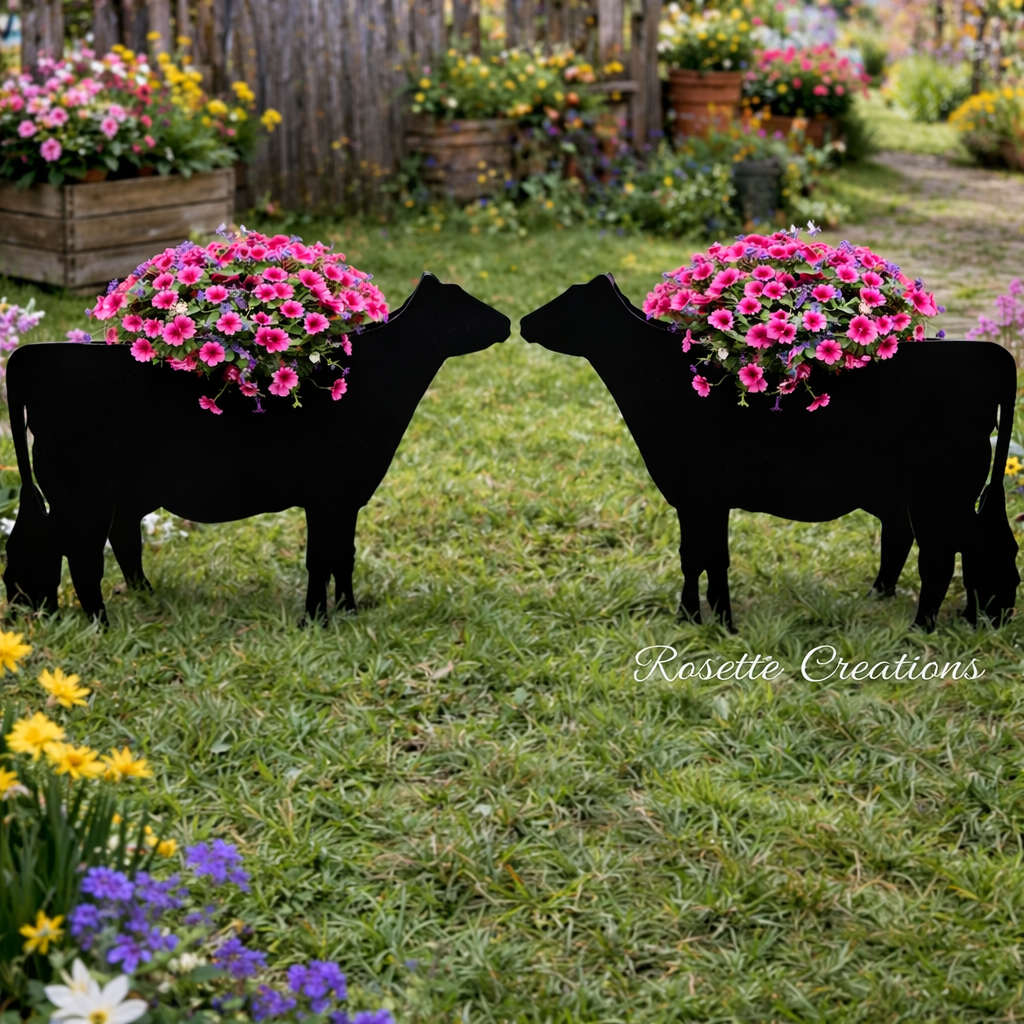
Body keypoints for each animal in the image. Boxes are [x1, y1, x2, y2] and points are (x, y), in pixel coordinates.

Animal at [3, 273, 511, 624]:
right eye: (459, 303)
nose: (507, 322)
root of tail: (31, 355)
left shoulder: (345, 498)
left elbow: (341, 555)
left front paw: (347, 611)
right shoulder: (327, 495)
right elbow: (320, 558)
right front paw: (315, 620)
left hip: (119, 491)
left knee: (113, 538)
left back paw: (133, 597)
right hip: (79, 491)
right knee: (79, 551)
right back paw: (99, 623)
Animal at [520, 274, 1020, 632]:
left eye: (568, 302)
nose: (523, 322)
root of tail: (992, 356)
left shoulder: (699, 495)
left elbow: (704, 556)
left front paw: (712, 621)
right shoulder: (699, 499)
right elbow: (700, 555)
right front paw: (698, 617)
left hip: (941, 491)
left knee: (949, 550)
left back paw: (930, 626)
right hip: (919, 493)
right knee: (934, 539)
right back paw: (928, 607)